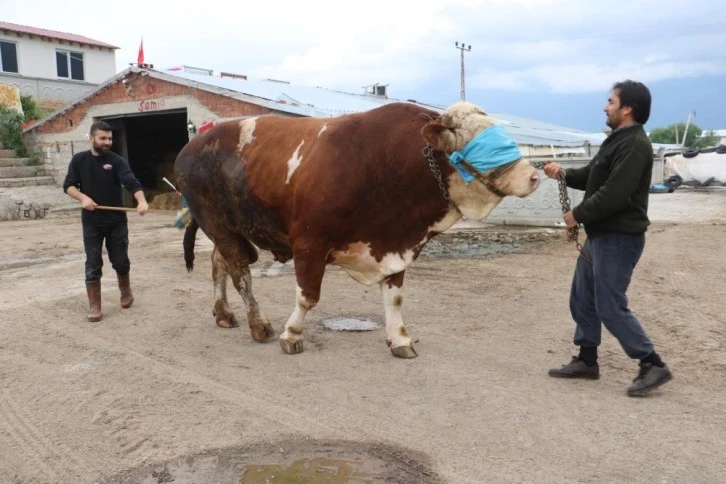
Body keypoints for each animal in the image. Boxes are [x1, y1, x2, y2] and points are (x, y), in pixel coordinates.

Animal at [175, 102, 540, 358]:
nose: (534, 176)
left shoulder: (395, 245)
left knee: (219, 264)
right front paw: (291, 334)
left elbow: (394, 298)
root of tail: (193, 145)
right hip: (217, 224)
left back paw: (223, 313)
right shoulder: (309, 243)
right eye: (482, 142)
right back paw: (258, 324)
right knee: (240, 271)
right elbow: (308, 296)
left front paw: (399, 339)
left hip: (227, 228)